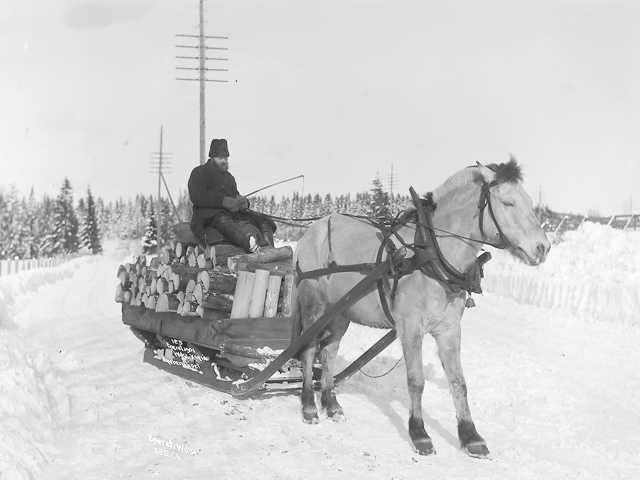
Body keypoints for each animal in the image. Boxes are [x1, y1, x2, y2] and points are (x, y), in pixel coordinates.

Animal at [296, 158, 552, 458]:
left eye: (529, 202)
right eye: (508, 202)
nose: (543, 248)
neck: (431, 255)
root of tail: (313, 230)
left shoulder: (449, 329)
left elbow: (459, 382)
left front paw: (470, 436)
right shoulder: (410, 327)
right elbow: (416, 381)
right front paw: (419, 433)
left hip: (340, 312)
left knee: (329, 353)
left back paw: (331, 404)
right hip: (314, 304)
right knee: (309, 349)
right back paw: (309, 406)